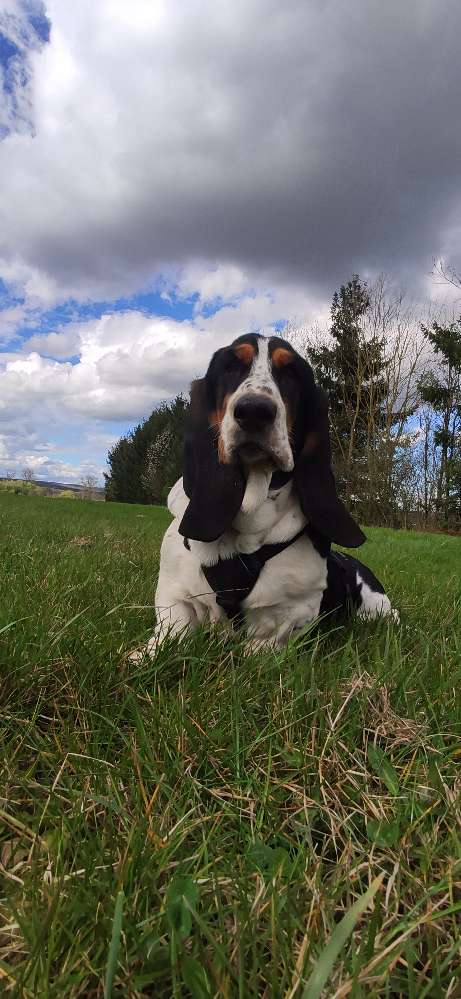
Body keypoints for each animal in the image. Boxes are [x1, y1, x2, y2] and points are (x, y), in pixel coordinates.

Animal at [137, 332, 396, 652]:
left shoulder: (293, 611)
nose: (254, 411)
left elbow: (263, 643)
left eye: (291, 373)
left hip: (378, 609)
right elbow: (172, 632)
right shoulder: (175, 595)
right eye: (230, 367)